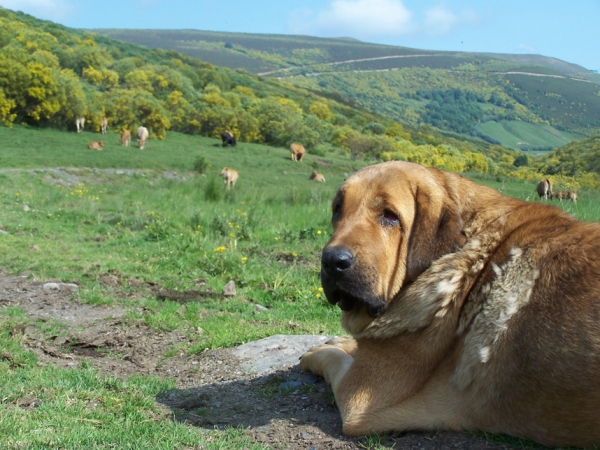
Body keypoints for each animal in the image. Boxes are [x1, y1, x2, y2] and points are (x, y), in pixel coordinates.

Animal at [302, 161, 600, 446]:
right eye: (337, 210)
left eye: (390, 215)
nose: (332, 260)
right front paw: (341, 341)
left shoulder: (358, 393)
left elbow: (333, 359)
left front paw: (318, 352)